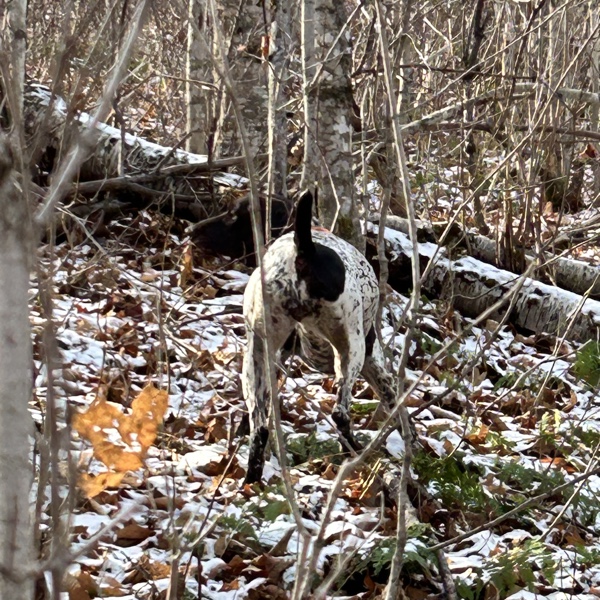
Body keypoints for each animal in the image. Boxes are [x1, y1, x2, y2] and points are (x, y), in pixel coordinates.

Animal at [241, 192, 396, 482]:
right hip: (350, 351)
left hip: (255, 356)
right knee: (340, 413)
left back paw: (252, 480)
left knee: (260, 428)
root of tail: (303, 252)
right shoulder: (373, 361)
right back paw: (354, 451)